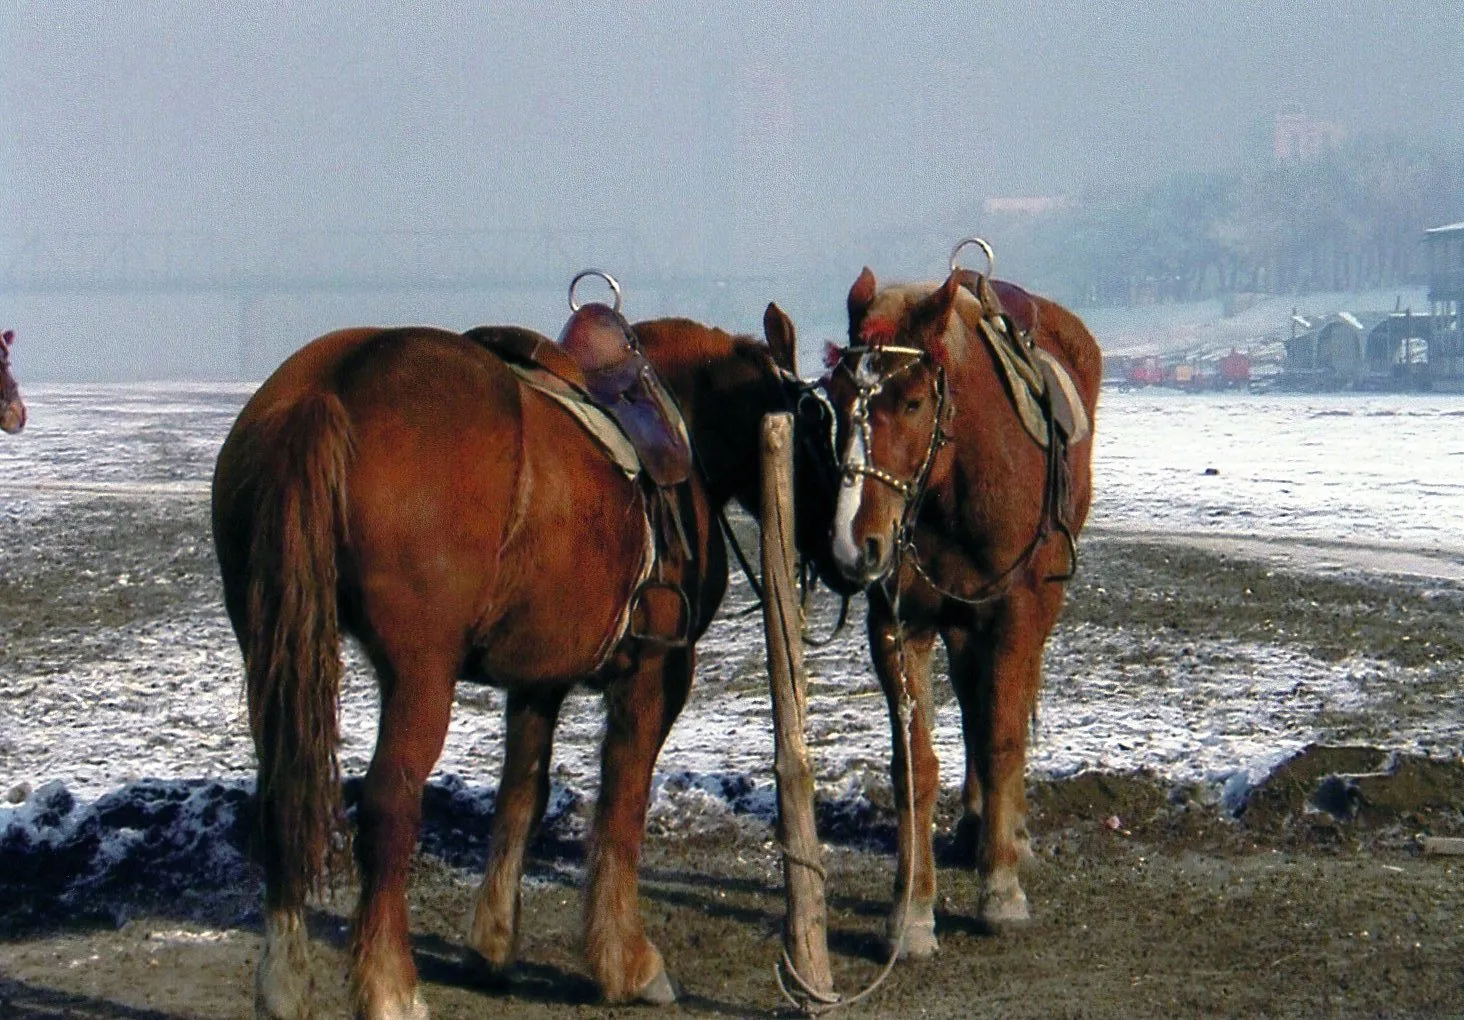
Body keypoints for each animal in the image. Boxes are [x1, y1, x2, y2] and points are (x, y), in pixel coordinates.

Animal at [211, 304, 804, 1019]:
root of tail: (326, 386)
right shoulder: (656, 675)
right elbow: (623, 800)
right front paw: (627, 964)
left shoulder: (536, 678)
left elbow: (522, 793)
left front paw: (492, 944)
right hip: (420, 674)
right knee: (388, 805)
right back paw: (390, 988)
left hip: (271, 652)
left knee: (281, 794)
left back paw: (284, 982)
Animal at [810, 265, 1100, 959]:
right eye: (836, 398)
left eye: (914, 402)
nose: (850, 546)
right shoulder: (897, 627)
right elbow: (915, 762)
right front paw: (911, 912)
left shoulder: (1016, 617)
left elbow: (1002, 739)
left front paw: (1001, 889)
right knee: (972, 703)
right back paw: (973, 824)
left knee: (1002, 712)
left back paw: (1007, 832)